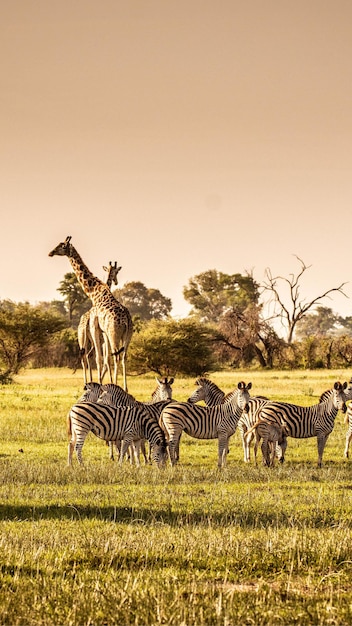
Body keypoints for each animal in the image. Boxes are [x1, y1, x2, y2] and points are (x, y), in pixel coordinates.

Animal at [48, 236, 133, 388]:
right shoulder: (102, 332)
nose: (50, 253)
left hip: (111, 334)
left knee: (112, 356)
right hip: (127, 335)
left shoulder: (95, 328)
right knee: (122, 357)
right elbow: (104, 359)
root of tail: (127, 320)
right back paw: (124, 387)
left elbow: (100, 359)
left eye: (62, 246)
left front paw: (101, 384)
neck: (95, 293)